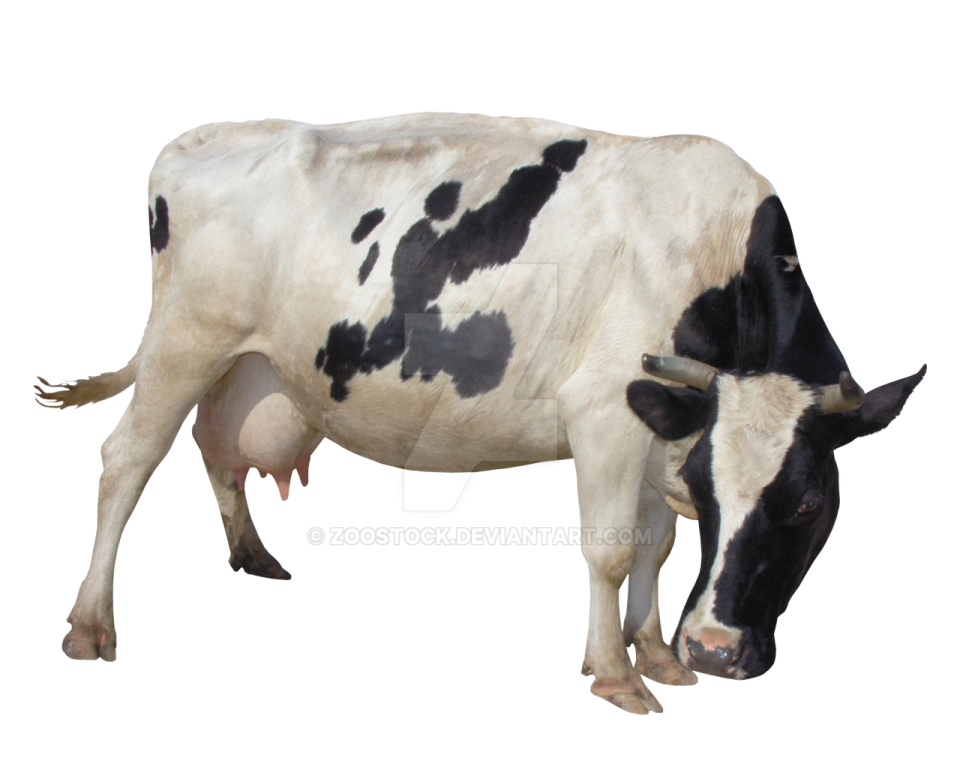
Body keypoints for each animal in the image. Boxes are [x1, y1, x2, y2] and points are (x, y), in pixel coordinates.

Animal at [35, 113, 924, 715]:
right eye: (716, 493)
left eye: (805, 504)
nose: (713, 648)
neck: (714, 257)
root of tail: (204, 135)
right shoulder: (605, 412)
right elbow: (610, 548)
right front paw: (615, 672)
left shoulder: (661, 428)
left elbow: (654, 543)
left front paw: (655, 652)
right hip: (186, 340)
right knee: (127, 460)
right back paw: (90, 623)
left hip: (244, 364)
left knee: (215, 448)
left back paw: (252, 553)